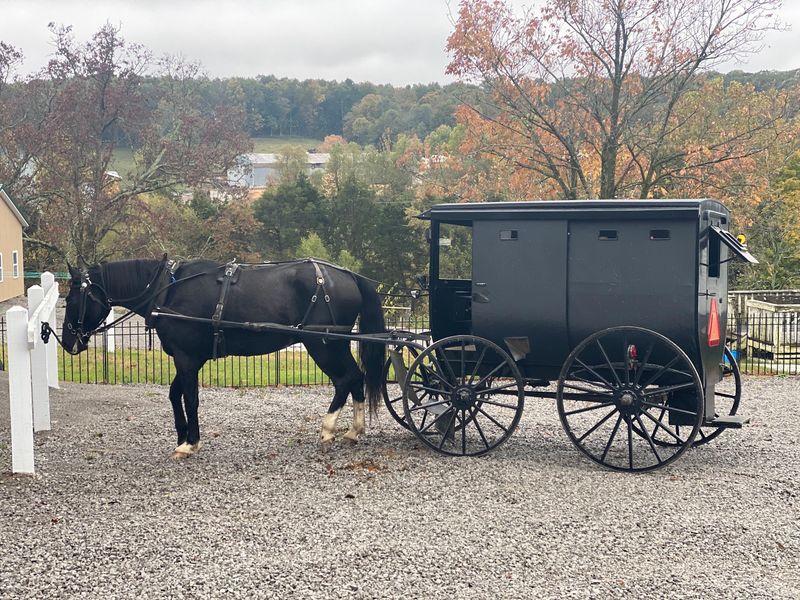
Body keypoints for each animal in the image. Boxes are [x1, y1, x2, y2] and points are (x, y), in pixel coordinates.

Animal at [61, 257, 386, 458]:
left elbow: (190, 398)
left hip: (323, 344)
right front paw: (182, 436)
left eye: (72, 299)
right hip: (332, 345)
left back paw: (329, 429)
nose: (66, 341)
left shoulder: (187, 357)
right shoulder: (190, 357)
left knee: (345, 379)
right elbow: (174, 394)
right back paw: (354, 431)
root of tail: (349, 276)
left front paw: (190, 443)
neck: (167, 290)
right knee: (355, 378)